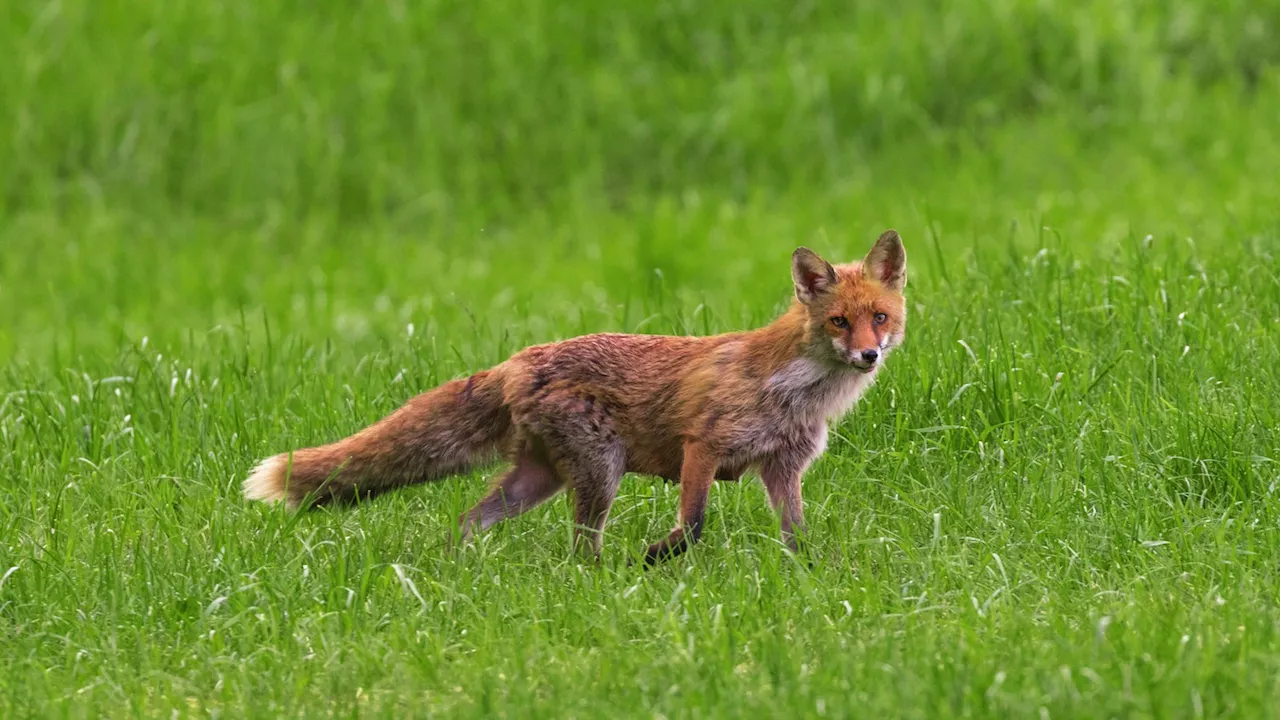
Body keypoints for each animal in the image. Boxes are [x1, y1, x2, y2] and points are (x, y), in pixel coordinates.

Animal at [244, 229, 906, 561]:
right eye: (839, 323)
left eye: (879, 318)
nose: (869, 356)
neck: (796, 392)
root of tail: (516, 360)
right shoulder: (702, 446)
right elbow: (692, 525)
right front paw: (655, 558)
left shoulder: (782, 467)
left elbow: (797, 536)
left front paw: (807, 576)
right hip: (599, 472)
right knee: (580, 546)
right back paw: (602, 580)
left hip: (539, 480)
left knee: (468, 520)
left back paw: (463, 572)